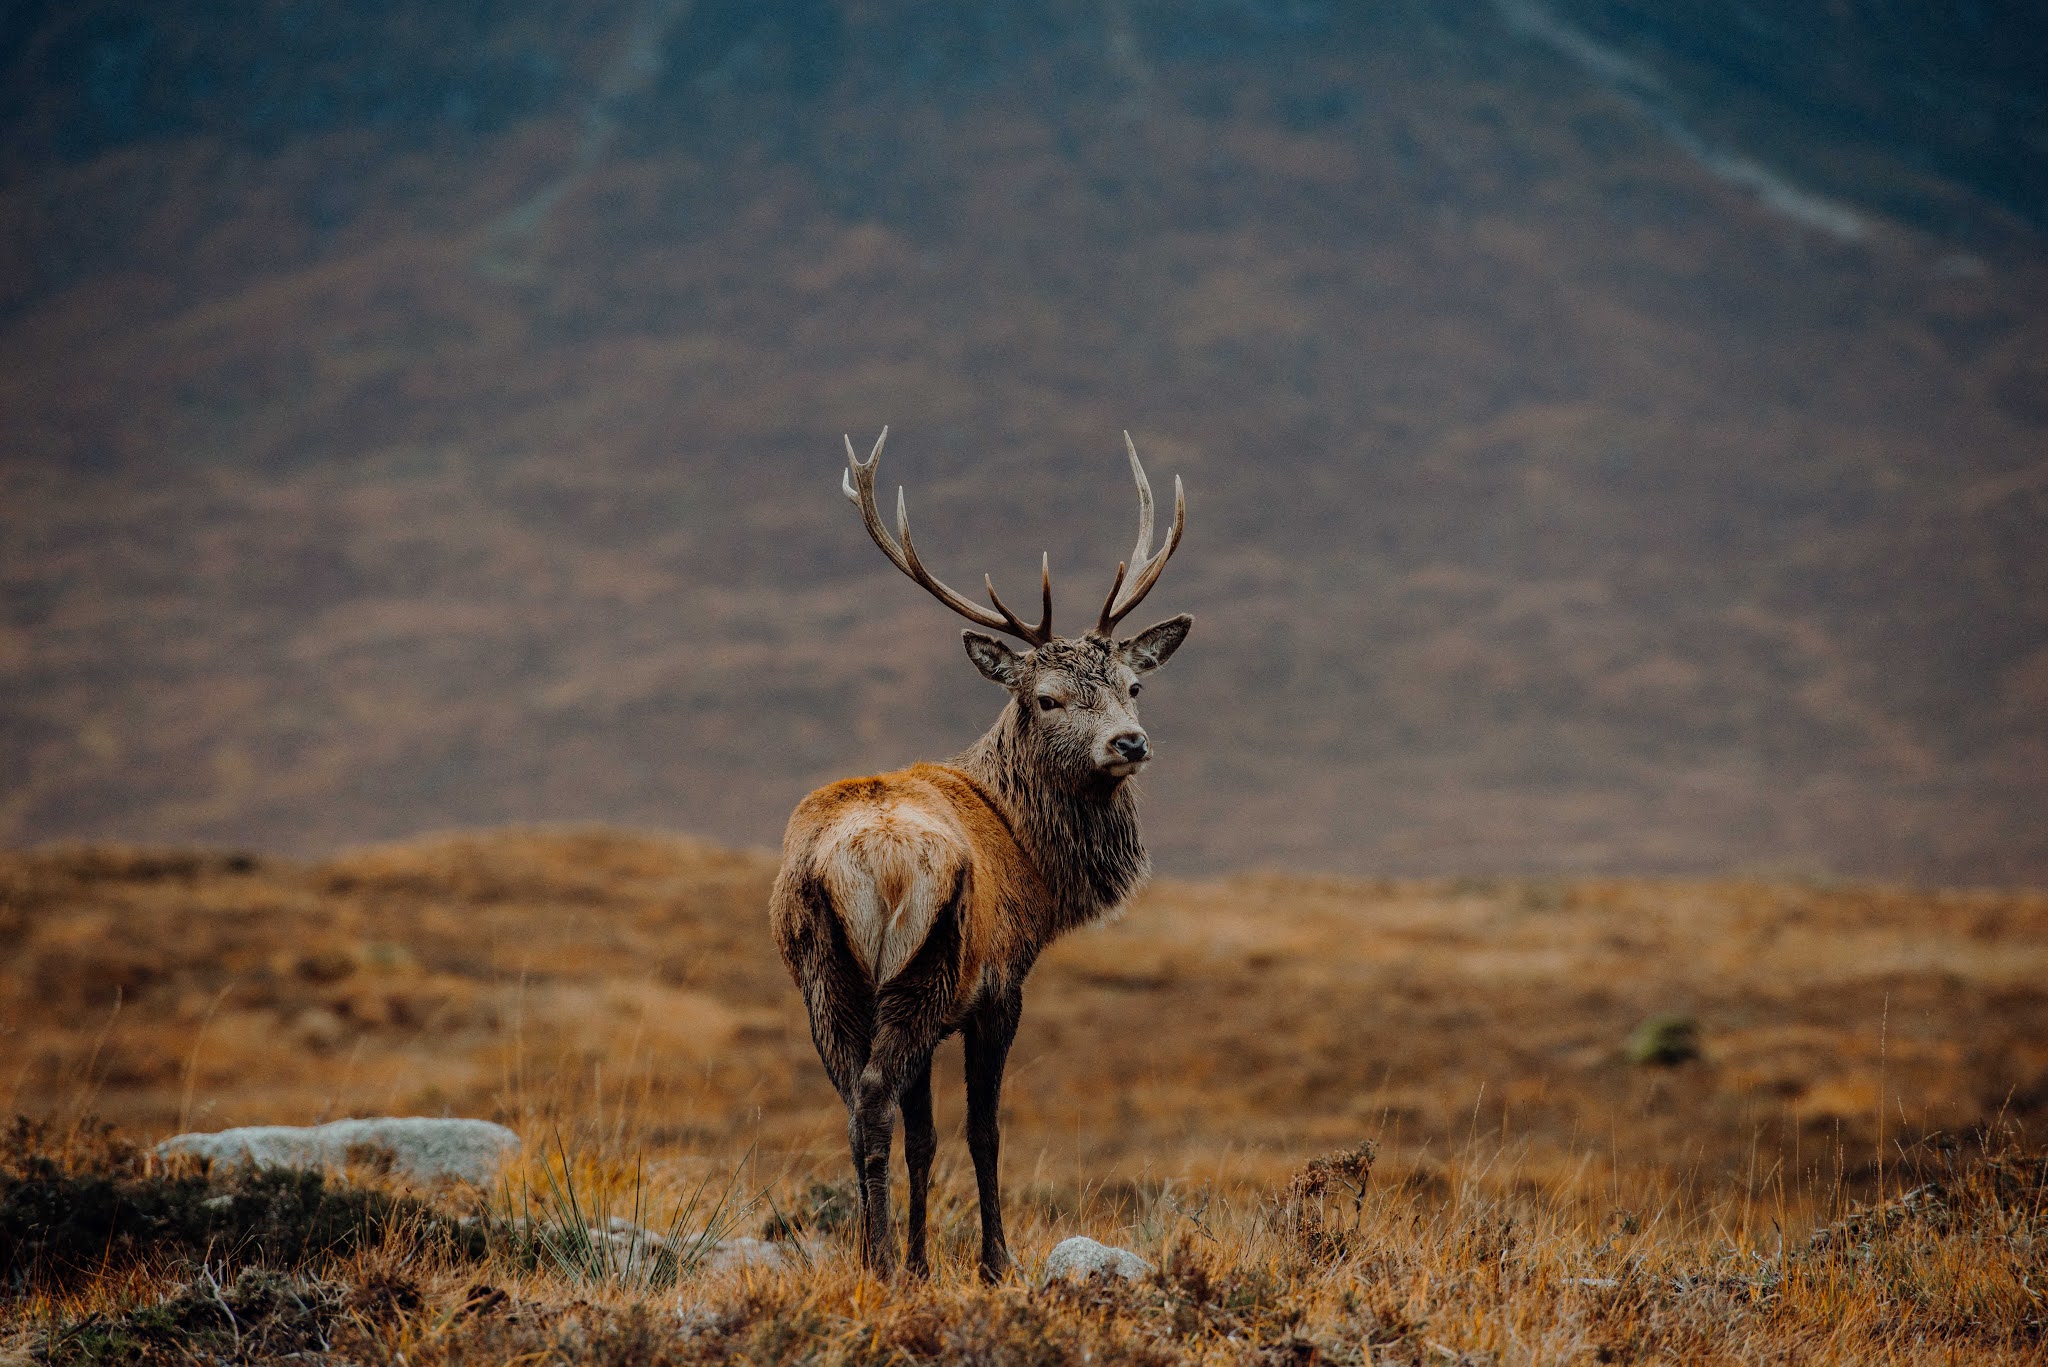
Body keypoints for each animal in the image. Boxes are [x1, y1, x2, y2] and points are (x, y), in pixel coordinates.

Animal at [770, 428, 1196, 1287]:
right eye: (1047, 696)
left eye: (1133, 684)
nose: (1128, 743)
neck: (1031, 853)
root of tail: (858, 862)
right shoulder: (999, 985)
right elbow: (983, 1130)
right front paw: (995, 1262)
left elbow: (926, 1138)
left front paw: (925, 1261)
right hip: (925, 964)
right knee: (874, 1096)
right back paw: (877, 1263)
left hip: (825, 976)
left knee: (854, 1103)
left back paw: (873, 1257)